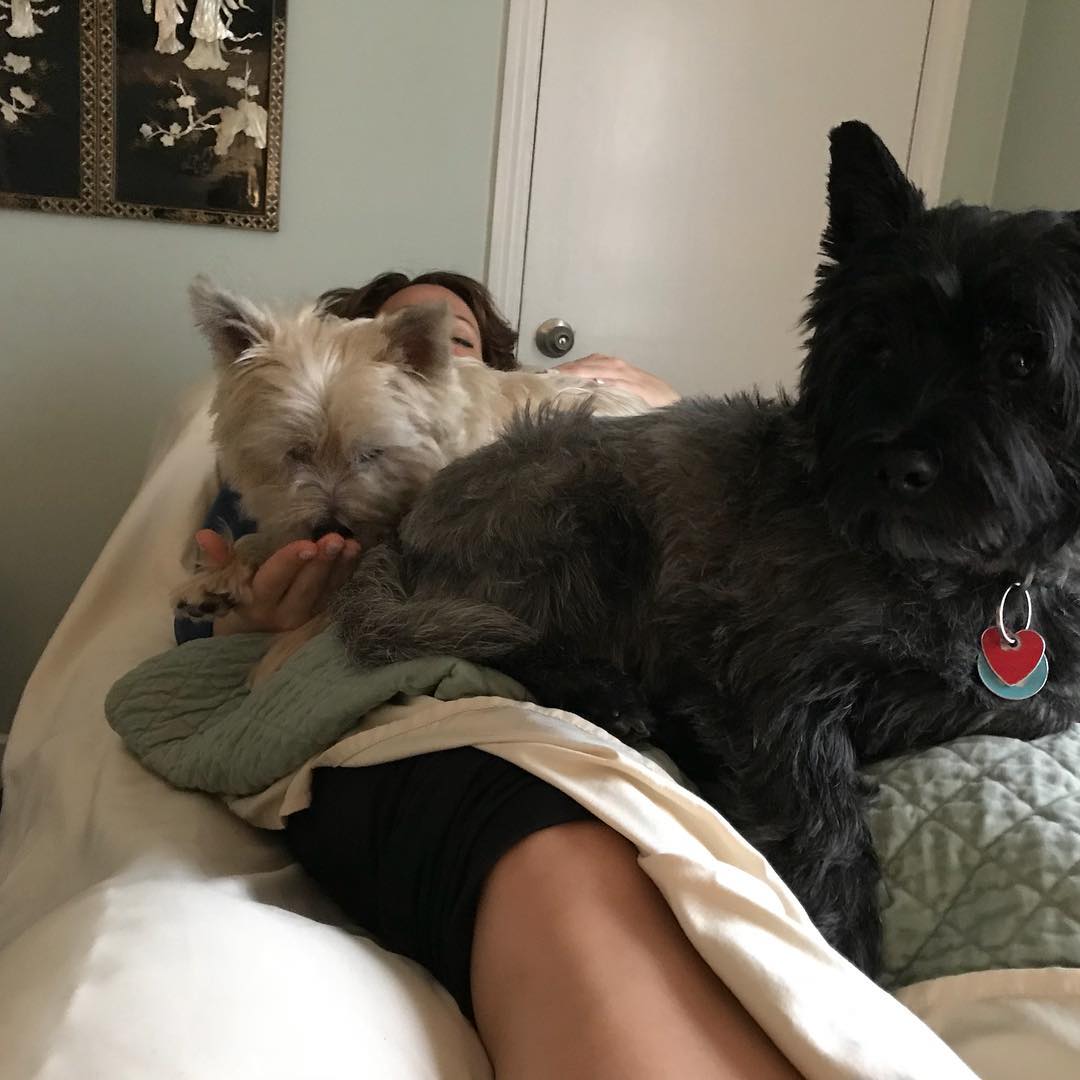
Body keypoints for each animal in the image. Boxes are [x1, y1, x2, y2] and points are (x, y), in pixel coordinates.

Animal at [333, 120, 1080, 974]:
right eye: (878, 343)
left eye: (1020, 359)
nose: (897, 467)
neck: (937, 575)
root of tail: (405, 524)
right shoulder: (774, 684)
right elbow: (820, 806)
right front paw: (842, 951)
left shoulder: (1042, 689)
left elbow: (1020, 704)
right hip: (584, 510)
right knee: (507, 636)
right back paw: (609, 696)